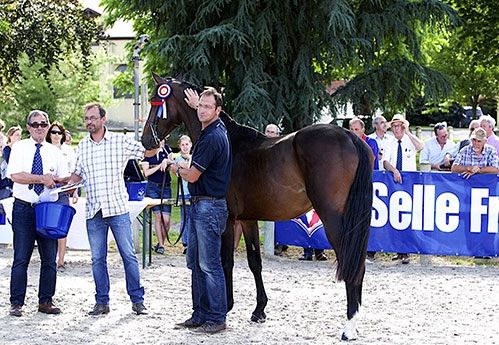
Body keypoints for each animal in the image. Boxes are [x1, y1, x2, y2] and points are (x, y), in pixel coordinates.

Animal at [143, 72, 374, 338]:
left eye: (156, 100)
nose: (146, 140)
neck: (229, 140)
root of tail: (350, 137)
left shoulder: (228, 219)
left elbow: (226, 261)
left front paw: (226, 307)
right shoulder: (248, 219)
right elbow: (255, 261)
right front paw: (259, 310)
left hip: (333, 219)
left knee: (351, 263)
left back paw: (349, 326)